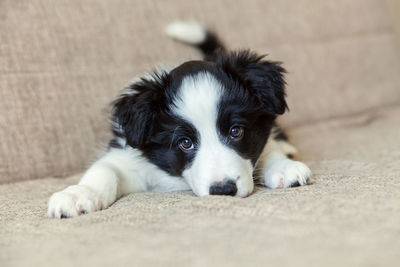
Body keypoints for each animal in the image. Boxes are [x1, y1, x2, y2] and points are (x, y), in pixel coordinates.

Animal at [47, 21, 312, 220]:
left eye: (236, 131)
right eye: (185, 143)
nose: (223, 190)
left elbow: (266, 148)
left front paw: (283, 167)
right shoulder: (128, 159)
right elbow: (104, 171)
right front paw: (77, 194)